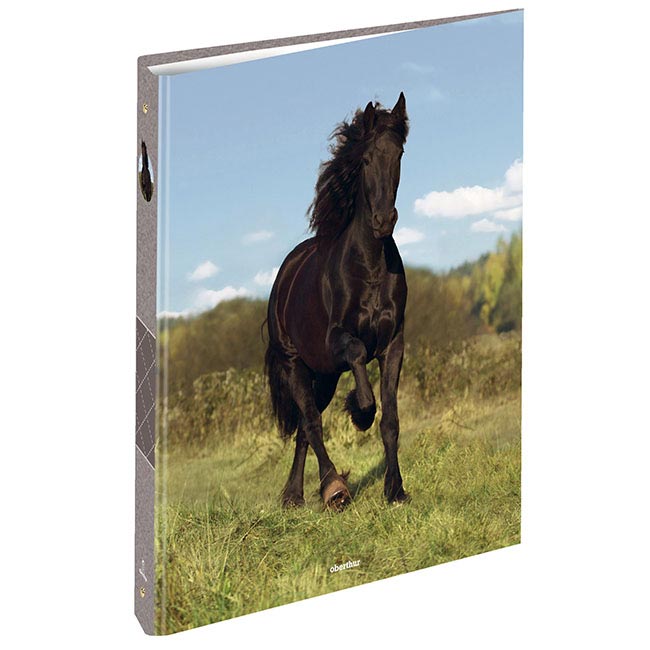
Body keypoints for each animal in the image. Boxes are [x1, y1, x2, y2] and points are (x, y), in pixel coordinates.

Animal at [265, 93, 409, 510]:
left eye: (399, 154)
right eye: (365, 159)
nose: (383, 221)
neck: (370, 265)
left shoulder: (394, 344)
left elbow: (390, 420)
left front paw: (396, 490)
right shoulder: (339, 341)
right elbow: (360, 361)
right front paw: (359, 413)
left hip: (325, 375)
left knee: (304, 425)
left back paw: (294, 496)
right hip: (296, 363)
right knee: (311, 422)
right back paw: (333, 489)